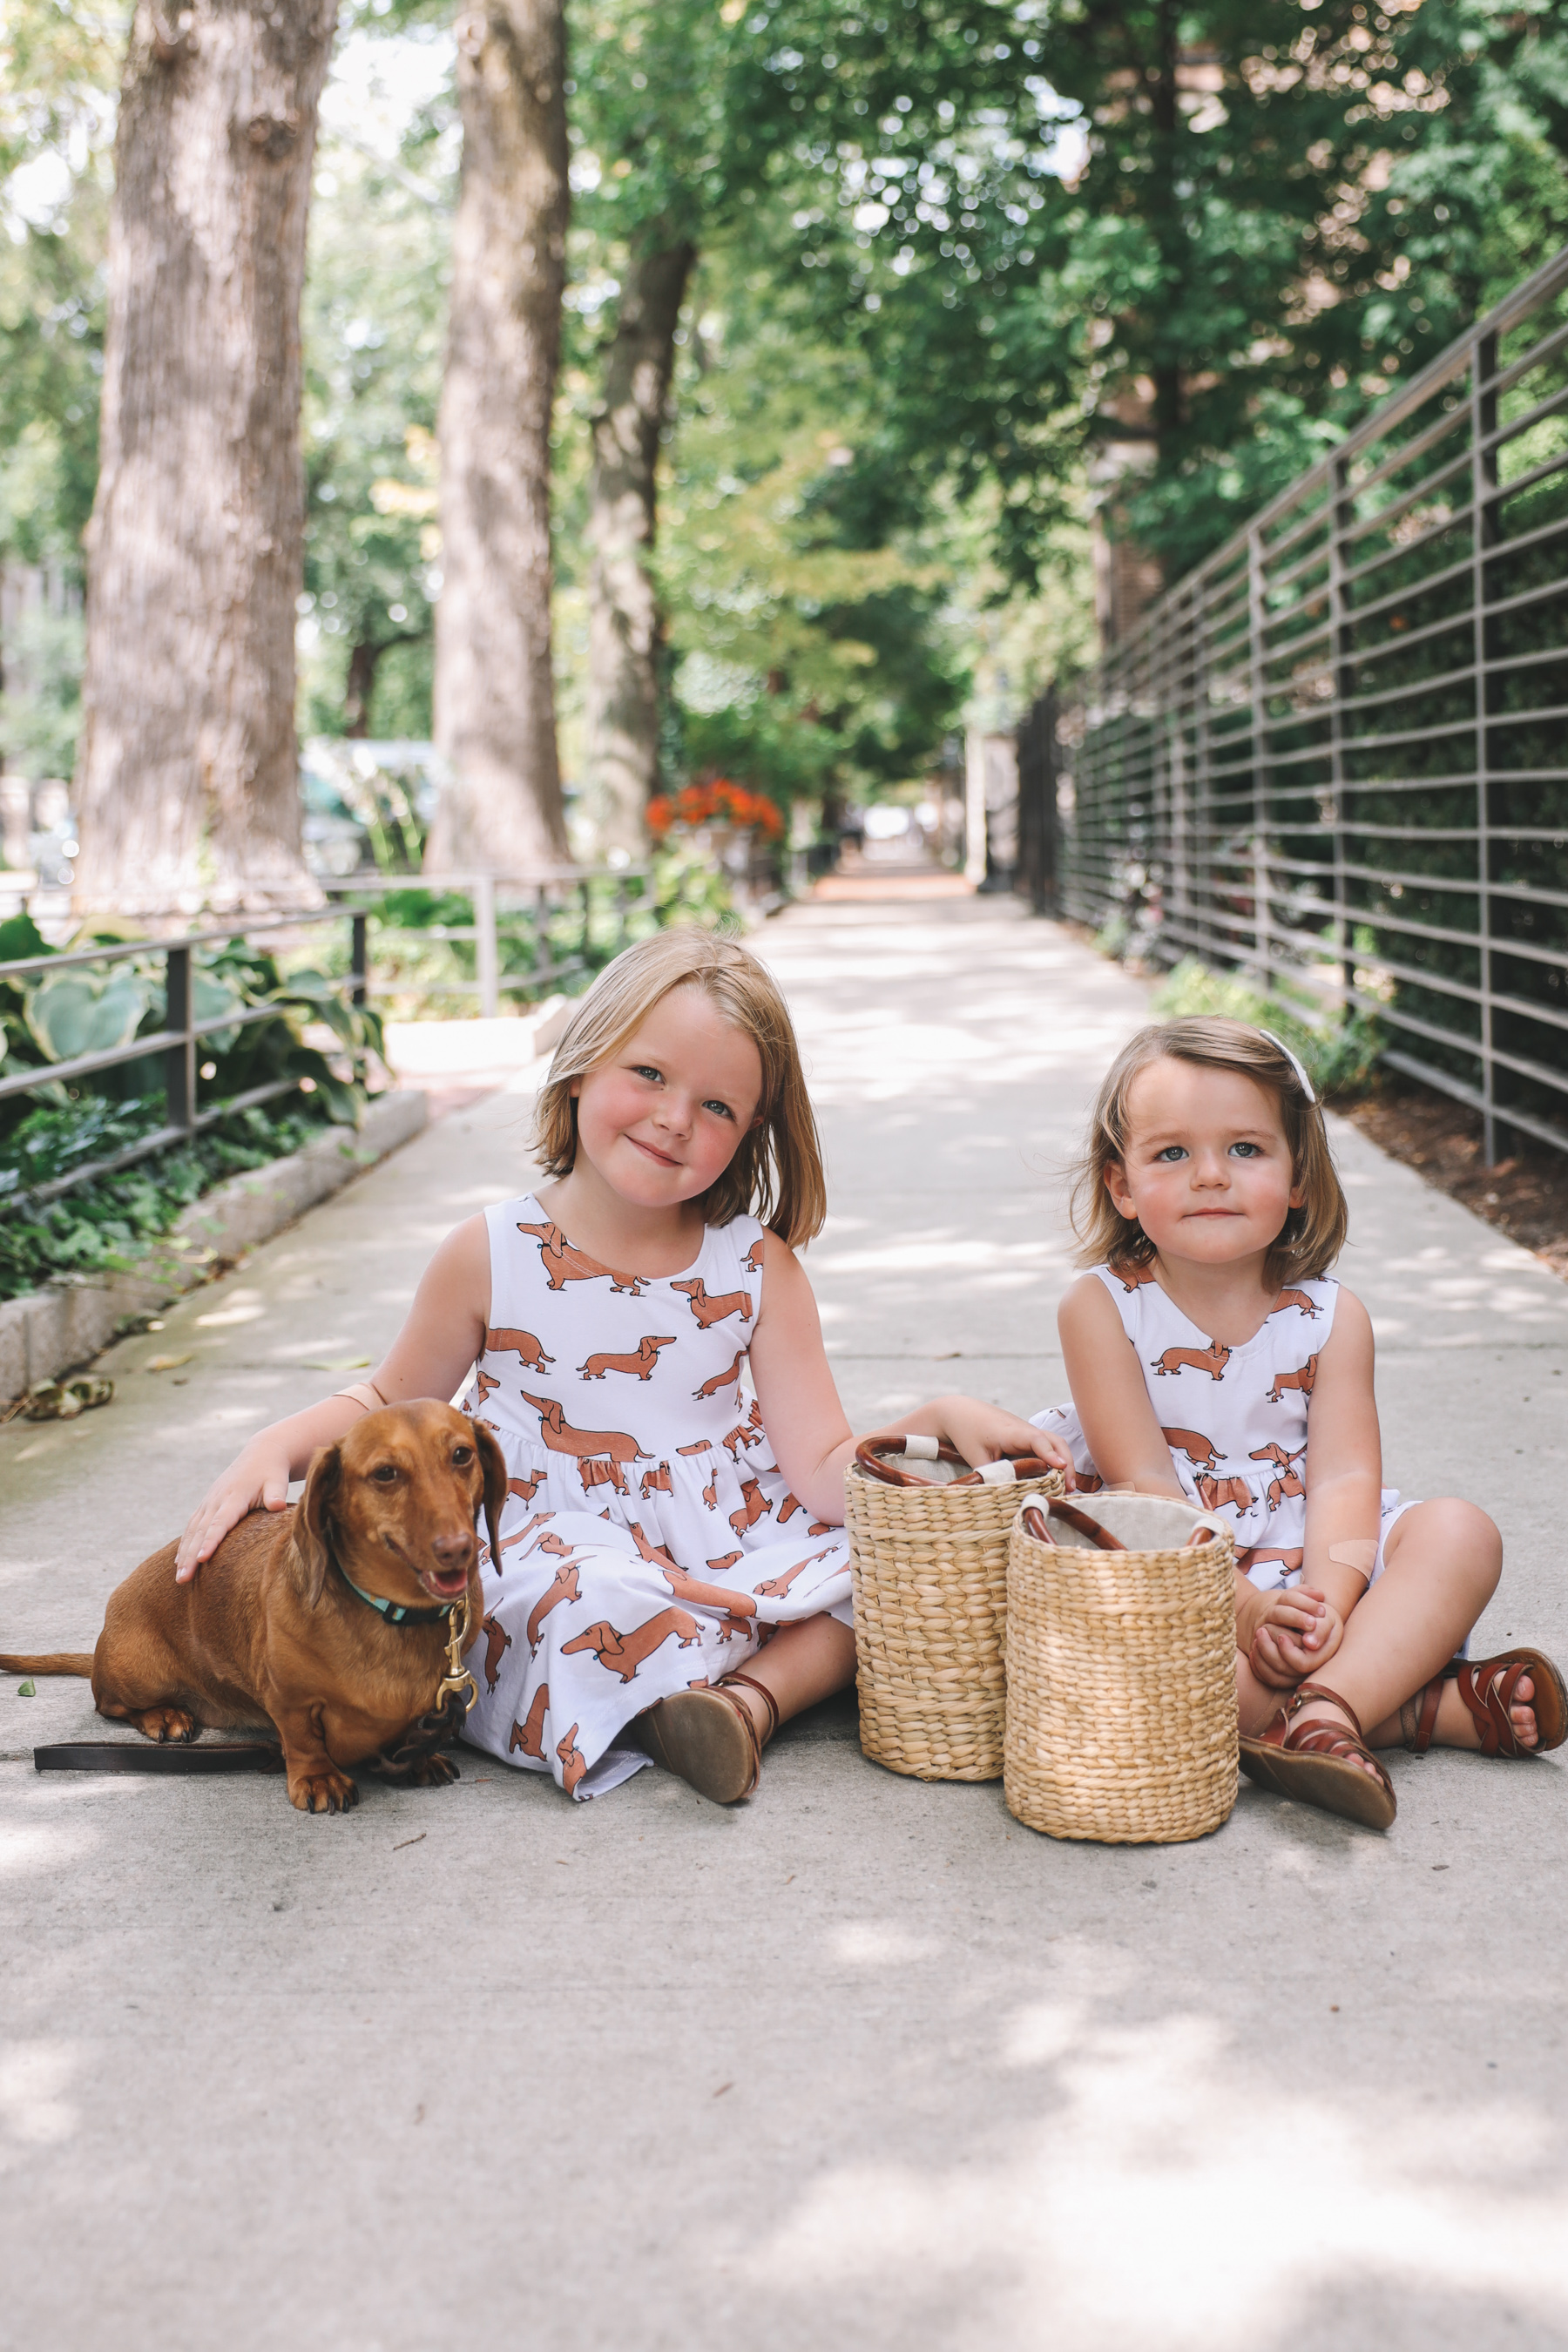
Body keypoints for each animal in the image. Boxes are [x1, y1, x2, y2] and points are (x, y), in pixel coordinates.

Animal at [0, 1402, 503, 1806]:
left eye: (462, 1455)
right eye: (385, 1473)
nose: (458, 1549)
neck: (388, 1615)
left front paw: (419, 1757)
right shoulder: (288, 1700)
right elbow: (303, 1741)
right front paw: (318, 1779)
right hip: (137, 1672)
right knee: (108, 1704)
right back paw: (165, 1715)